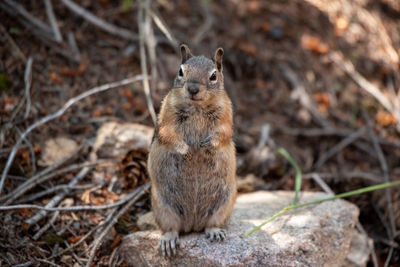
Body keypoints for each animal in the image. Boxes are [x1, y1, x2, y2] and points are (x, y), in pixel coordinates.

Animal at [148, 45, 238, 258]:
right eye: (181, 71)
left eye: (213, 76)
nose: (193, 89)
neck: (197, 106)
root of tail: (192, 225)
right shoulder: (167, 116)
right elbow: (168, 134)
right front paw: (186, 149)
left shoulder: (226, 116)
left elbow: (223, 133)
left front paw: (207, 145)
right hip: (163, 208)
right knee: (171, 228)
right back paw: (168, 240)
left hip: (223, 204)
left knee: (211, 224)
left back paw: (215, 232)